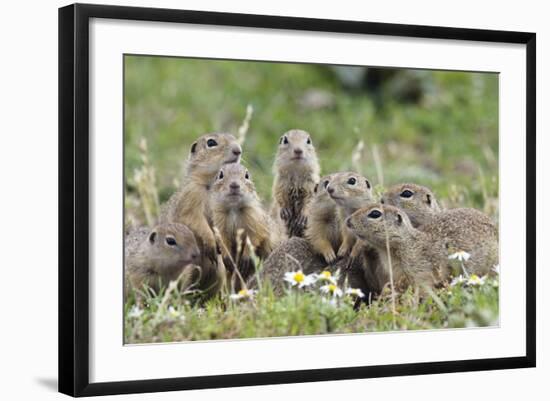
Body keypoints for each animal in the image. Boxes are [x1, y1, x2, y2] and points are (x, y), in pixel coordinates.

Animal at [162, 132, 244, 262]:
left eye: (233, 137)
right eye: (211, 142)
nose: (238, 150)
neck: (212, 183)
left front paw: (224, 247)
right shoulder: (190, 197)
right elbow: (195, 219)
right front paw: (211, 242)